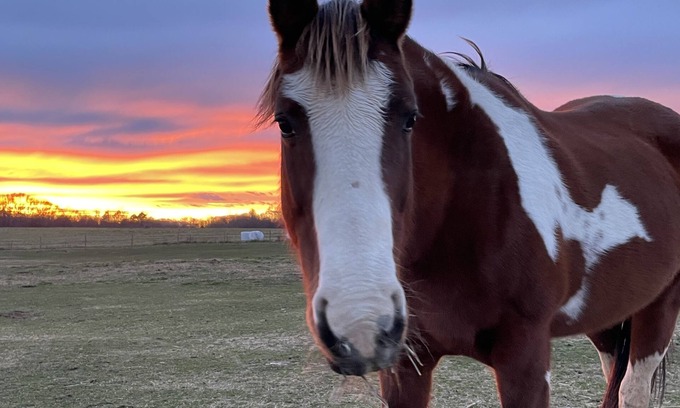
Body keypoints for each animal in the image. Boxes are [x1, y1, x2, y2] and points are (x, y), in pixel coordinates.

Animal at [258, 0, 680, 406]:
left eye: (410, 117)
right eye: (285, 122)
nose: (361, 321)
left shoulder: (525, 358)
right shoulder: (406, 364)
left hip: (658, 308)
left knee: (632, 390)